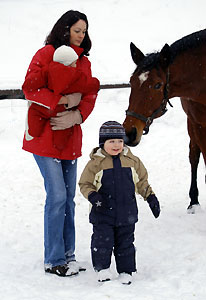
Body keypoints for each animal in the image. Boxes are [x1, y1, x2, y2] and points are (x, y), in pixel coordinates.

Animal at [123, 29, 206, 212]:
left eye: (157, 85)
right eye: (131, 82)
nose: (129, 133)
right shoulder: (198, 125)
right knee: (193, 156)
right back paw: (193, 201)